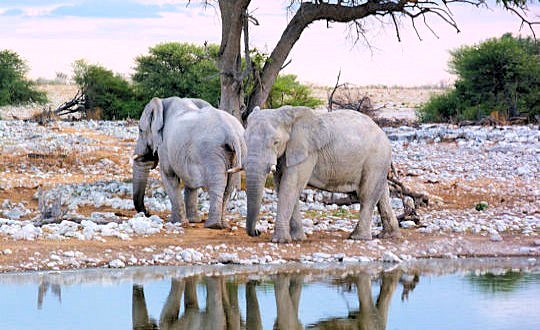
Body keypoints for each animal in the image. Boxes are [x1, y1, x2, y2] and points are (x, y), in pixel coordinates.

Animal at [133, 96, 247, 228]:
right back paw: (223, 225)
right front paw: (193, 221)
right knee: (229, 187)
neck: (163, 102)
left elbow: (168, 175)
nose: (147, 213)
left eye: (140, 130)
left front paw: (176, 222)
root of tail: (232, 133)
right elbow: (190, 181)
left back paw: (213, 225)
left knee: (217, 185)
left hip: (212, 152)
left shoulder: (165, 146)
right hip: (237, 151)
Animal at [245, 105, 400, 242]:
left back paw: (357, 237)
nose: (257, 232)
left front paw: (280, 241)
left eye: (276, 142)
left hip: (376, 158)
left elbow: (290, 186)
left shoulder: (308, 151)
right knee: (382, 192)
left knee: (366, 194)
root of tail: (381, 131)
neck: (289, 115)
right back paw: (388, 235)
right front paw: (298, 239)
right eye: (245, 139)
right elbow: (283, 186)